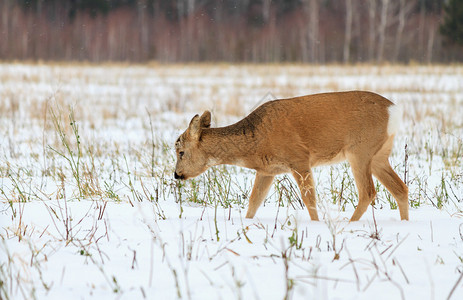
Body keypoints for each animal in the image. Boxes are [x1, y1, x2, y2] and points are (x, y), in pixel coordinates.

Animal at [174, 90, 410, 221]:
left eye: (180, 152)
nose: (177, 174)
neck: (254, 146)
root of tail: (395, 110)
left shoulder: (299, 158)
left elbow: (309, 199)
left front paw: (316, 224)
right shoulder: (267, 170)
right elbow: (254, 201)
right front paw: (247, 223)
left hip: (360, 150)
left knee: (368, 192)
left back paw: (350, 223)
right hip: (379, 154)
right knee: (400, 188)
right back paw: (404, 222)